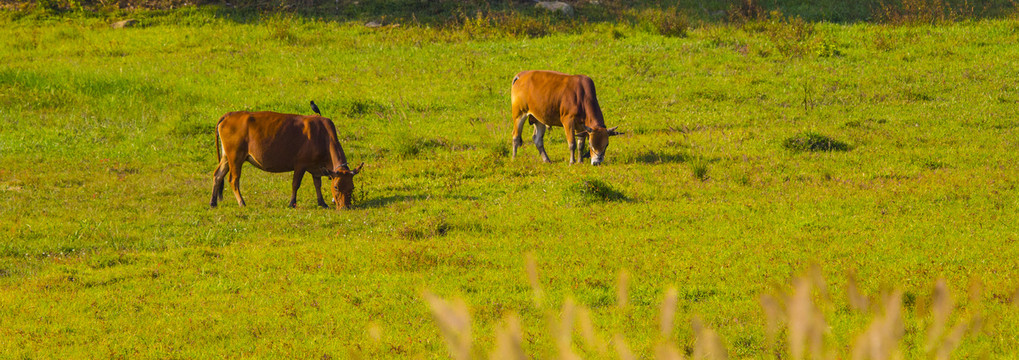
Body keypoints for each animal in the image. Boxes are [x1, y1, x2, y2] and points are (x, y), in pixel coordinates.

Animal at [208, 110, 364, 209]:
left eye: (352, 187)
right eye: (336, 187)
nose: (345, 207)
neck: (322, 135)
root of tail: (229, 115)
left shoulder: (317, 167)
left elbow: (317, 184)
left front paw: (322, 203)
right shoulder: (300, 164)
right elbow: (295, 184)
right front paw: (292, 203)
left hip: (226, 157)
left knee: (217, 175)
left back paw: (213, 202)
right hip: (235, 157)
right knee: (233, 180)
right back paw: (241, 202)